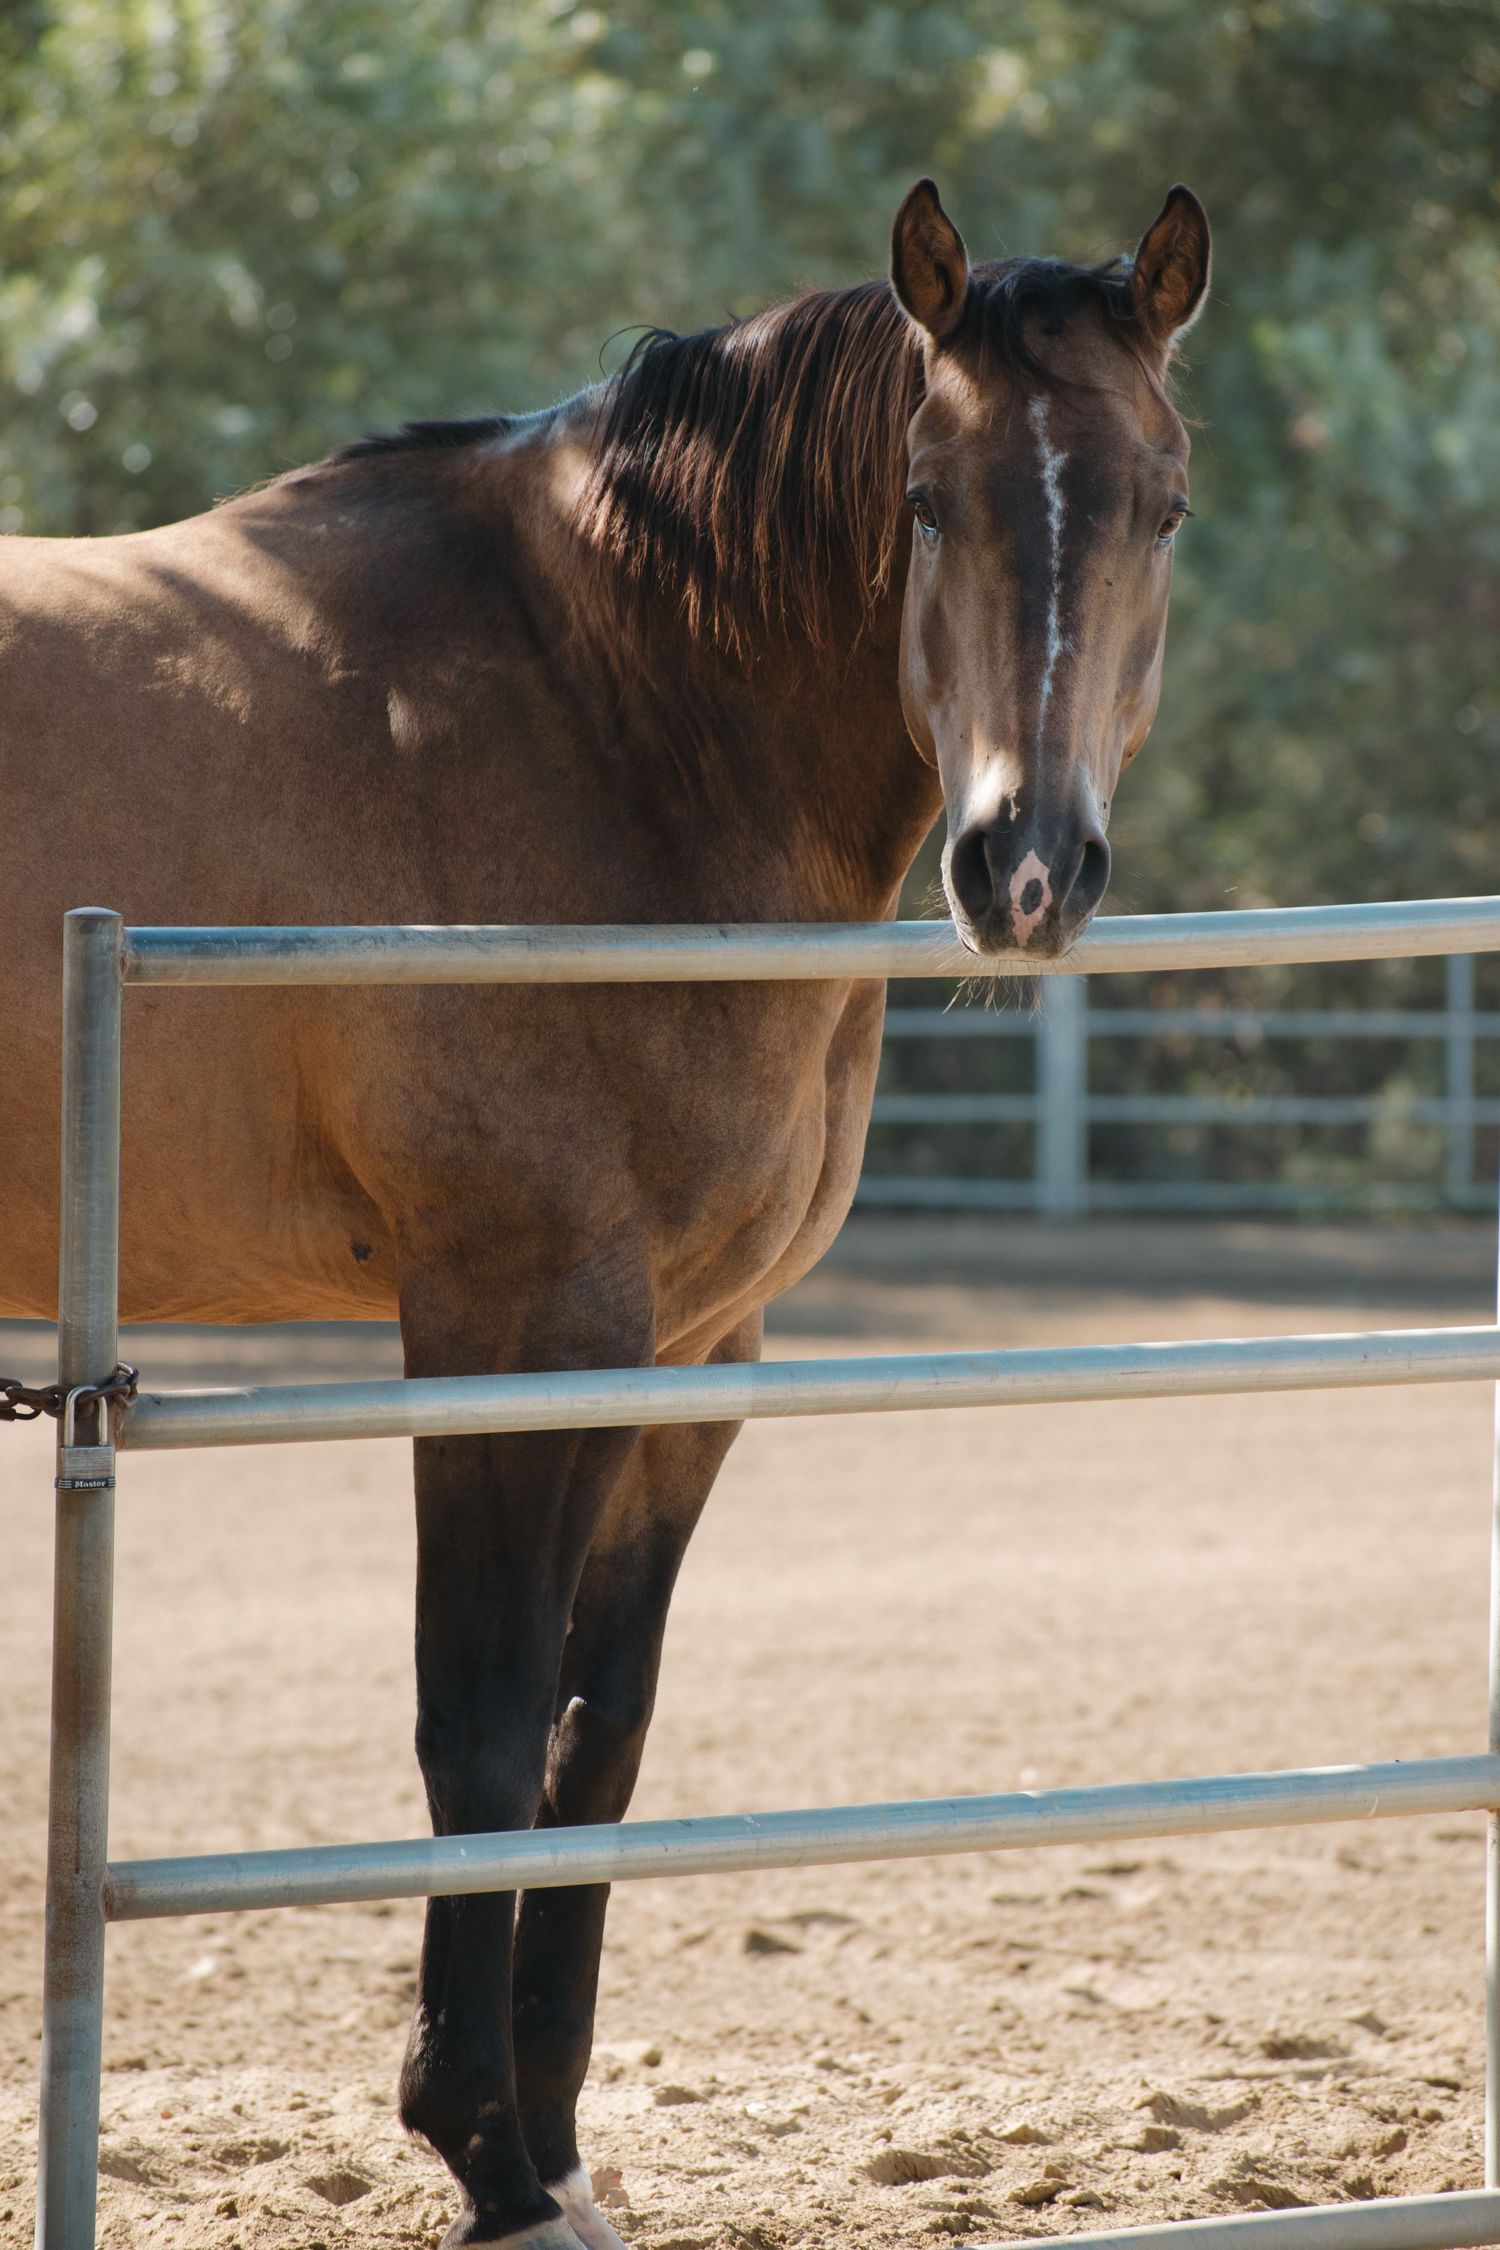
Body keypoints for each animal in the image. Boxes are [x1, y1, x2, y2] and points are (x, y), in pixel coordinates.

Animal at [0, 177, 1209, 2246]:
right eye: (927, 500)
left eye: (1166, 501)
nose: (1027, 868)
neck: (614, 715)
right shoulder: (511, 1324)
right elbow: (479, 1723)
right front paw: (486, 2158)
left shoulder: (689, 1350)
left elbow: (596, 1730)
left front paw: (553, 2141)